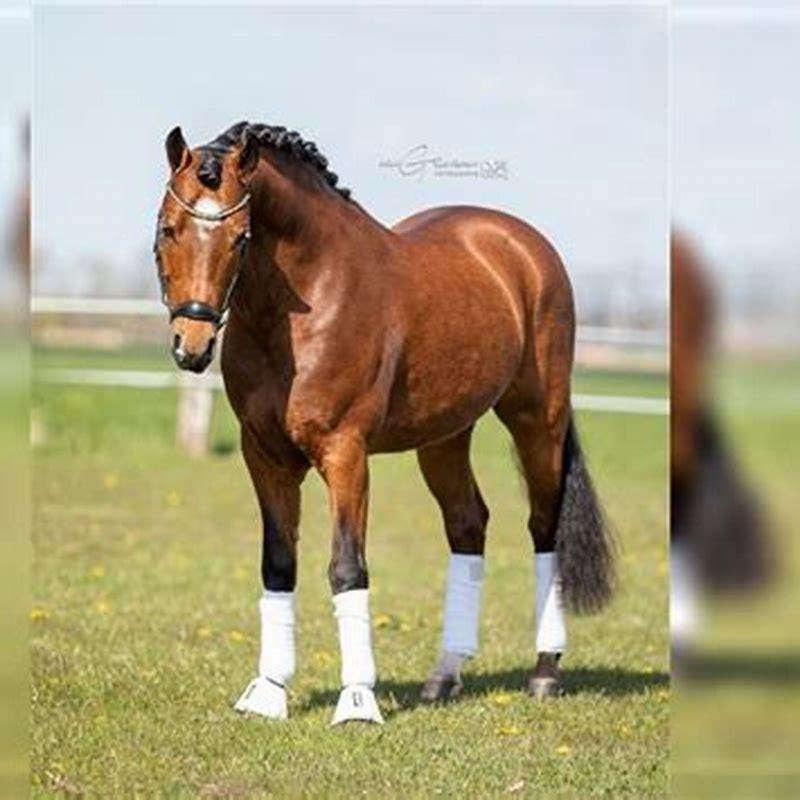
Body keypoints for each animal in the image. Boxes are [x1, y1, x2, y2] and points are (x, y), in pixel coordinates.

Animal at [154, 121, 614, 724]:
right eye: (168, 227)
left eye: (240, 238)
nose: (193, 344)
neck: (307, 301)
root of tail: (523, 245)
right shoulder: (265, 457)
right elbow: (278, 564)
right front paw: (267, 692)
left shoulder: (345, 454)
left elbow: (348, 568)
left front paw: (356, 701)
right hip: (445, 438)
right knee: (467, 525)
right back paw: (444, 676)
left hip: (539, 421)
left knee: (543, 527)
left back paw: (544, 671)